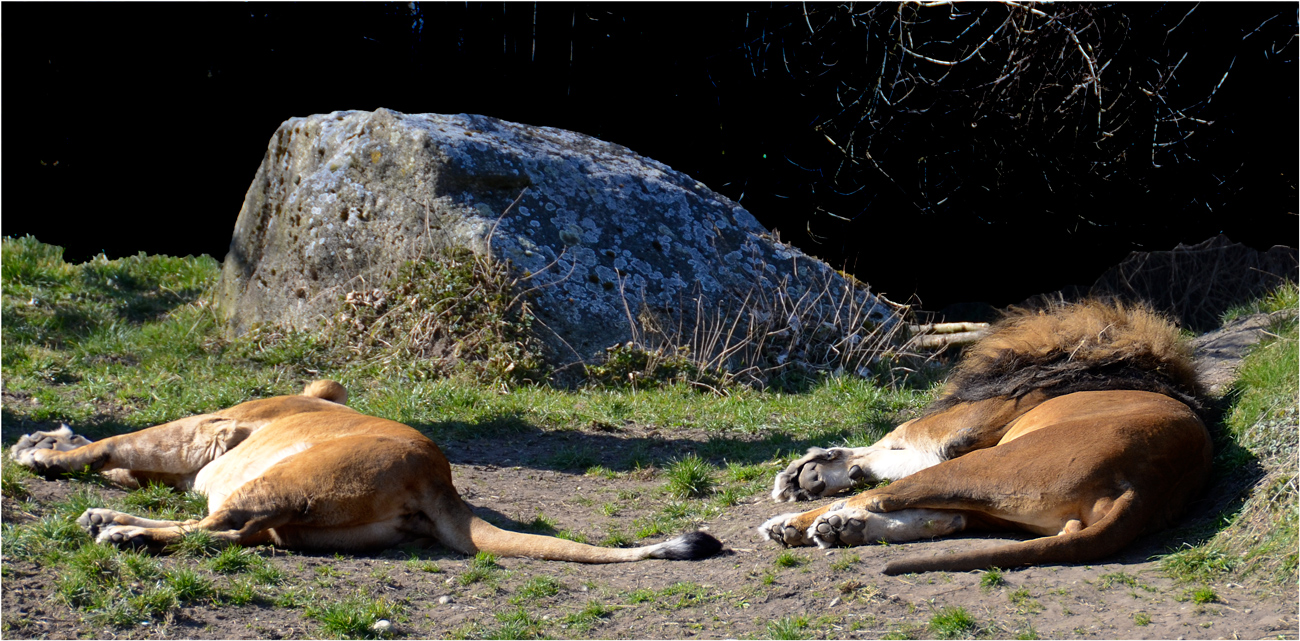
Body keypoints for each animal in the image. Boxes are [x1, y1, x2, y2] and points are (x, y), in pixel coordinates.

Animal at [12, 382, 722, 561]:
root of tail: (440, 479)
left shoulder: (205, 428)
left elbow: (112, 444)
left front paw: (41, 451)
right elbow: (121, 463)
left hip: (282, 480)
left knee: (221, 530)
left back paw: (120, 531)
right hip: (303, 519)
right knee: (237, 534)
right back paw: (109, 518)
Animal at [759, 301, 1206, 574]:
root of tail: (1142, 487)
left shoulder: (958, 427)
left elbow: (889, 440)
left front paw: (811, 471)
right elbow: (889, 452)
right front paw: (815, 474)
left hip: (985, 463)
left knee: (887, 496)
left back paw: (802, 525)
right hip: (1003, 502)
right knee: (949, 516)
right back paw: (844, 527)